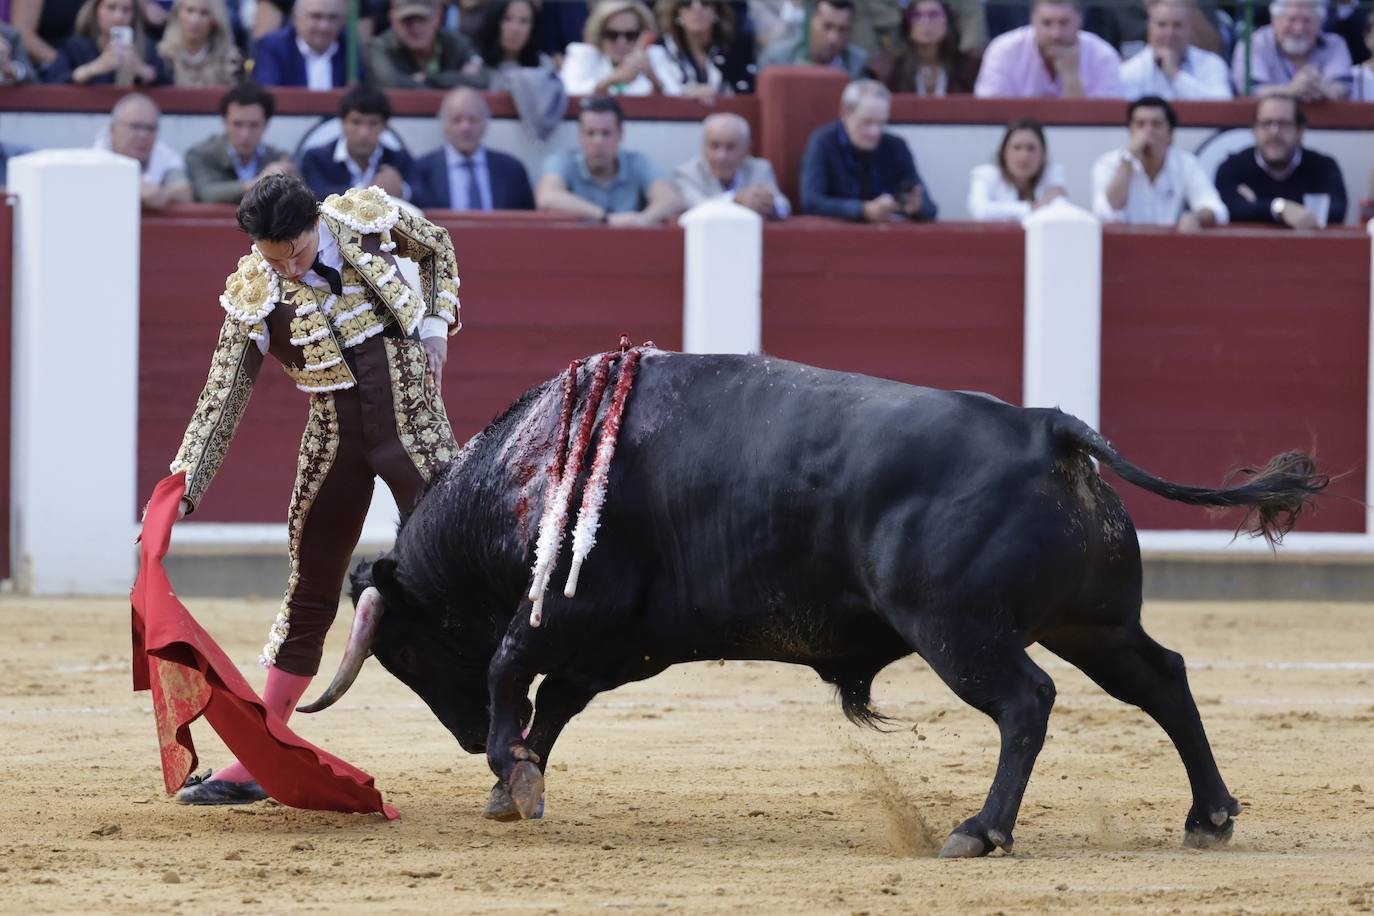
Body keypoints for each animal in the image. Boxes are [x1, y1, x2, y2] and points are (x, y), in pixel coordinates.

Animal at [303, 354, 1330, 862]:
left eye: (402, 653)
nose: (459, 737)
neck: (538, 467)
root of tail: (1052, 430)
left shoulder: (571, 611)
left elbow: (512, 668)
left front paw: (504, 767)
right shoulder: (625, 643)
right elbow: (551, 700)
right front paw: (515, 782)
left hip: (958, 630)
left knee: (1026, 702)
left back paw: (979, 830)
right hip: (1096, 625)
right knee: (1162, 679)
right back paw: (1209, 817)